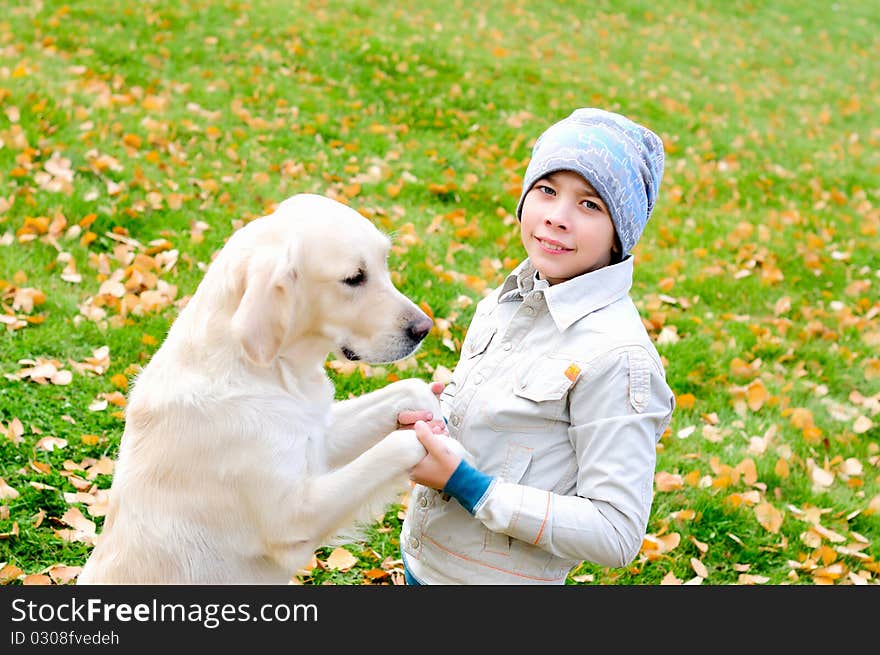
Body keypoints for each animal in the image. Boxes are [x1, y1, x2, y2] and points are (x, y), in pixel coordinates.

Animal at [75, 193, 446, 584]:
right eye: (353, 278)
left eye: (384, 263)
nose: (424, 328)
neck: (269, 371)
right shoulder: (294, 517)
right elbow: (394, 448)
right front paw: (432, 442)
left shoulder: (318, 435)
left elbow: (408, 387)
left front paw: (433, 409)